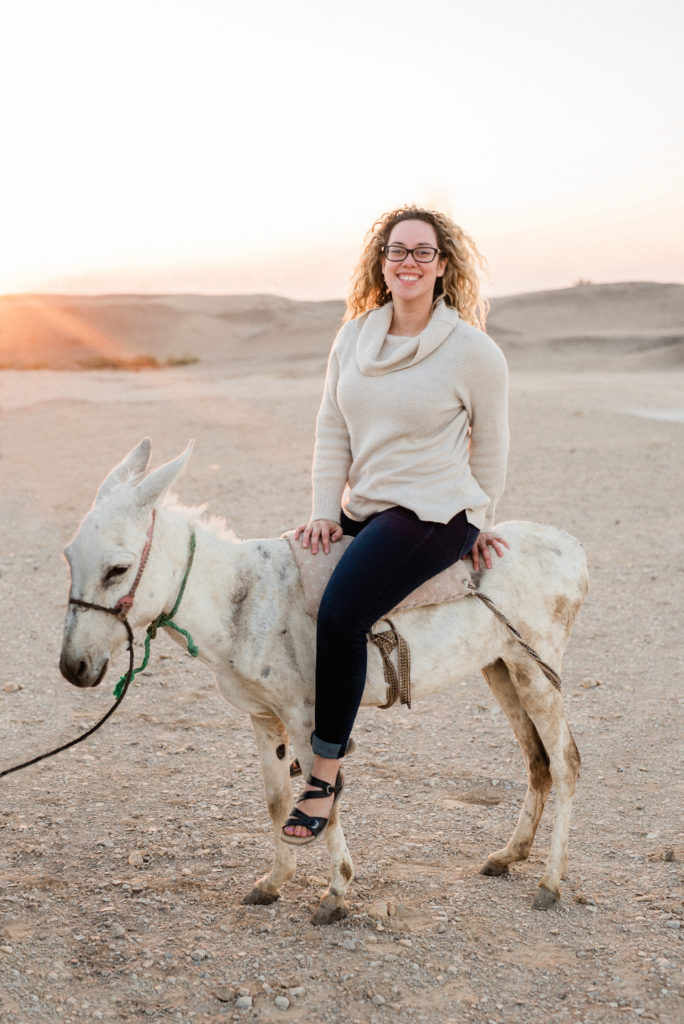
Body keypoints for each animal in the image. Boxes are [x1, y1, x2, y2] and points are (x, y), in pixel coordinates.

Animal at [59, 438, 588, 924]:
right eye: (68, 558)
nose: (72, 668)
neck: (241, 599)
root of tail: (571, 546)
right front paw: (273, 883)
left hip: (535, 669)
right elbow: (277, 800)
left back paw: (550, 882)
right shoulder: (263, 717)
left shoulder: (306, 718)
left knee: (565, 763)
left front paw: (335, 894)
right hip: (501, 669)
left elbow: (322, 797)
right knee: (537, 761)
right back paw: (509, 855)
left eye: (118, 569)